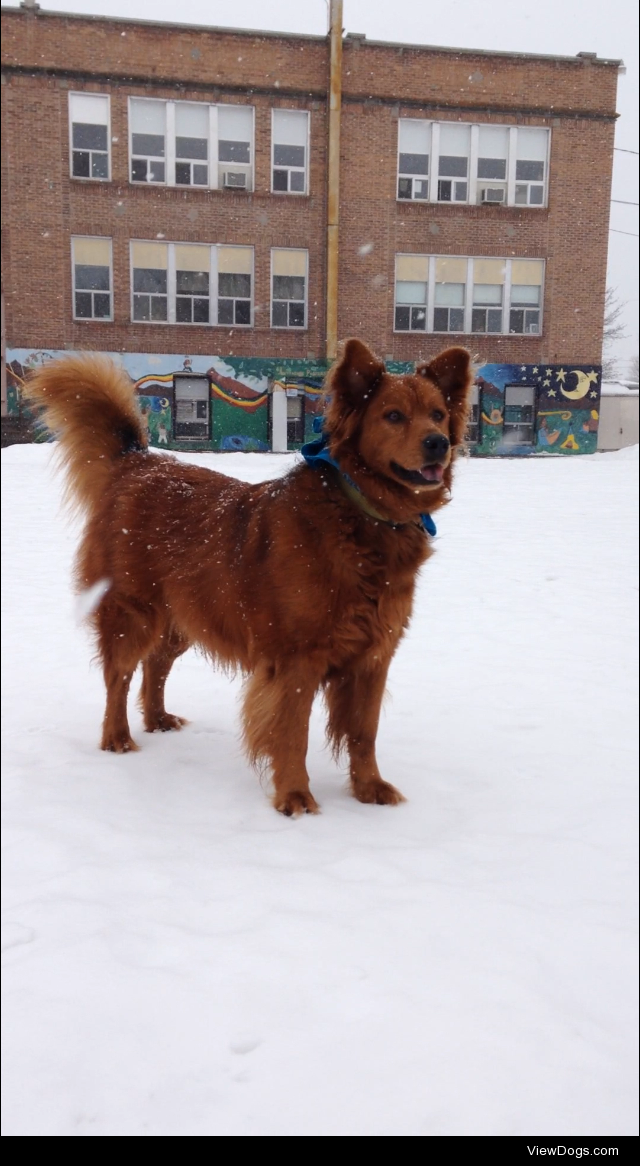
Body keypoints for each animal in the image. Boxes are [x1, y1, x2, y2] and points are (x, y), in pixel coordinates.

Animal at [26, 338, 468, 816]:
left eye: (438, 414)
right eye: (393, 416)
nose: (438, 443)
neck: (363, 517)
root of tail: (138, 463)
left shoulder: (374, 659)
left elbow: (364, 734)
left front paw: (370, 788)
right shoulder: (296, 661)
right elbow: (292, 734)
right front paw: (295, 796)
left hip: (187, 615)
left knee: (155, 665)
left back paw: (158, 718)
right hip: (134, 612)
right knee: (118, 678)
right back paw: (117, 737)